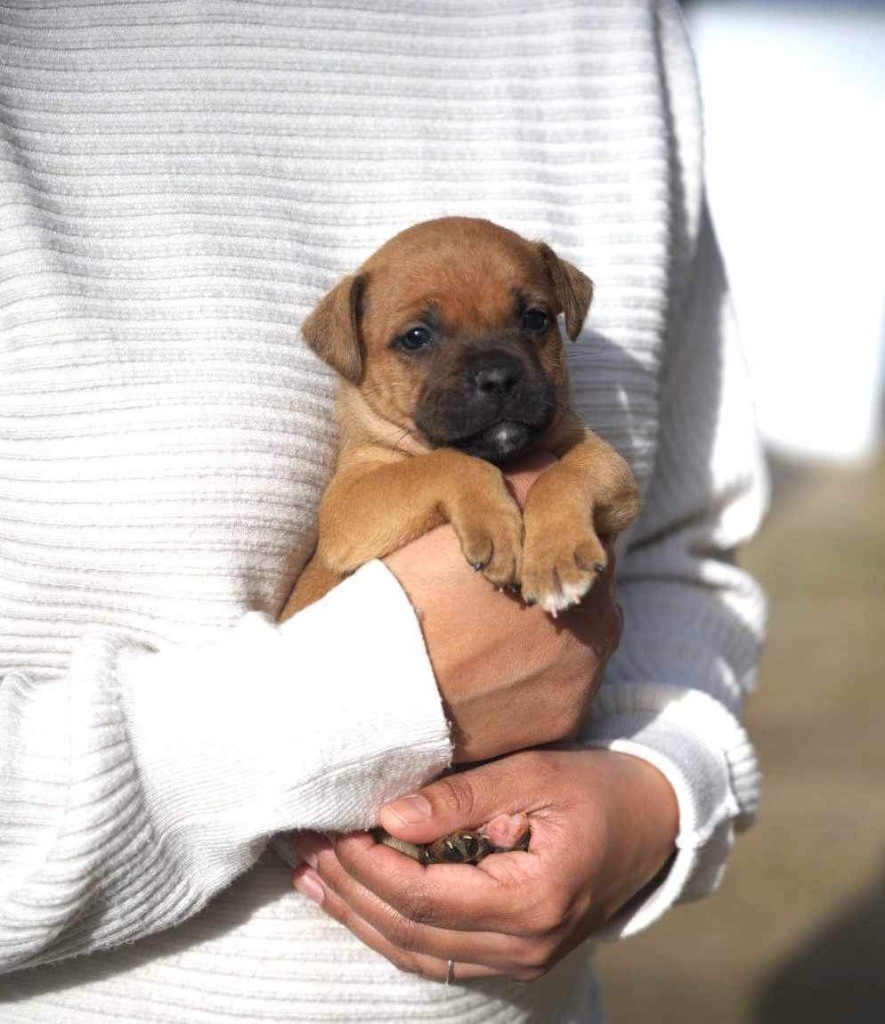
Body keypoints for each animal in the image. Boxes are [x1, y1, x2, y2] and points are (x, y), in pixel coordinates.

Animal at [280, 217, 639, 618]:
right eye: (415, 337)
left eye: (535, 319)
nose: (498, 377)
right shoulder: (347, 504)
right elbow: (445, 464)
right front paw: (495, 525)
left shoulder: (605, 461)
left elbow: (563, 477)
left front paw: (556, 557)